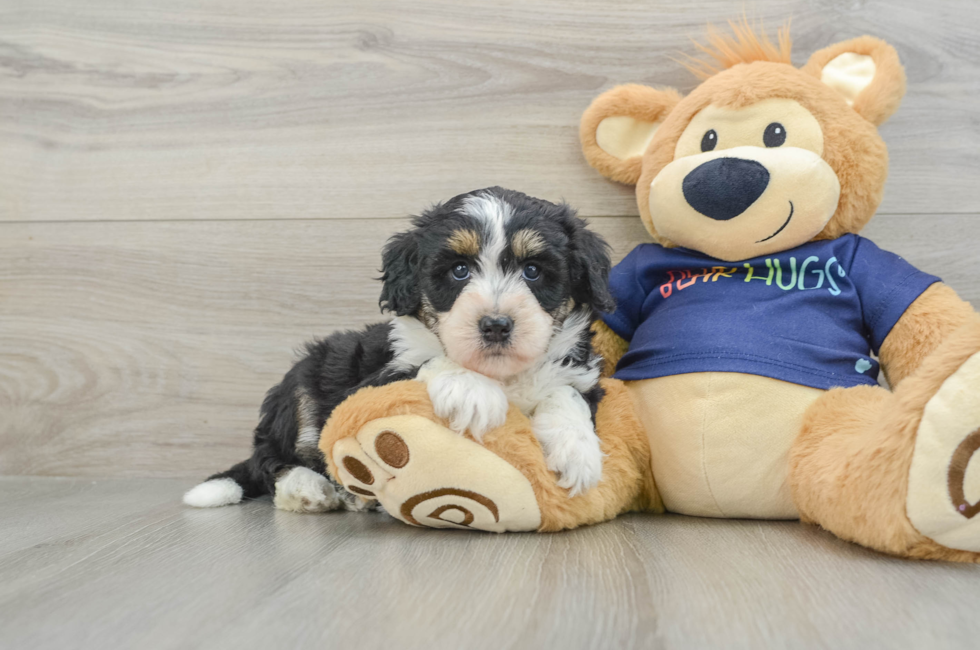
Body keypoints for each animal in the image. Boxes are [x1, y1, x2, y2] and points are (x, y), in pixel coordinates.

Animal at [184, 187, 612, 512]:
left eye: (533, 271)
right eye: (459, 271)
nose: (495, 325)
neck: (500, 374)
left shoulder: (580, 372)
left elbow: (567, 392)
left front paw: (576, 451)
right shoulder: (369, 384)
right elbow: (429, 359)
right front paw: (471, 391)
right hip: (303, 383)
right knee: (272, 458)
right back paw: (309, 489)